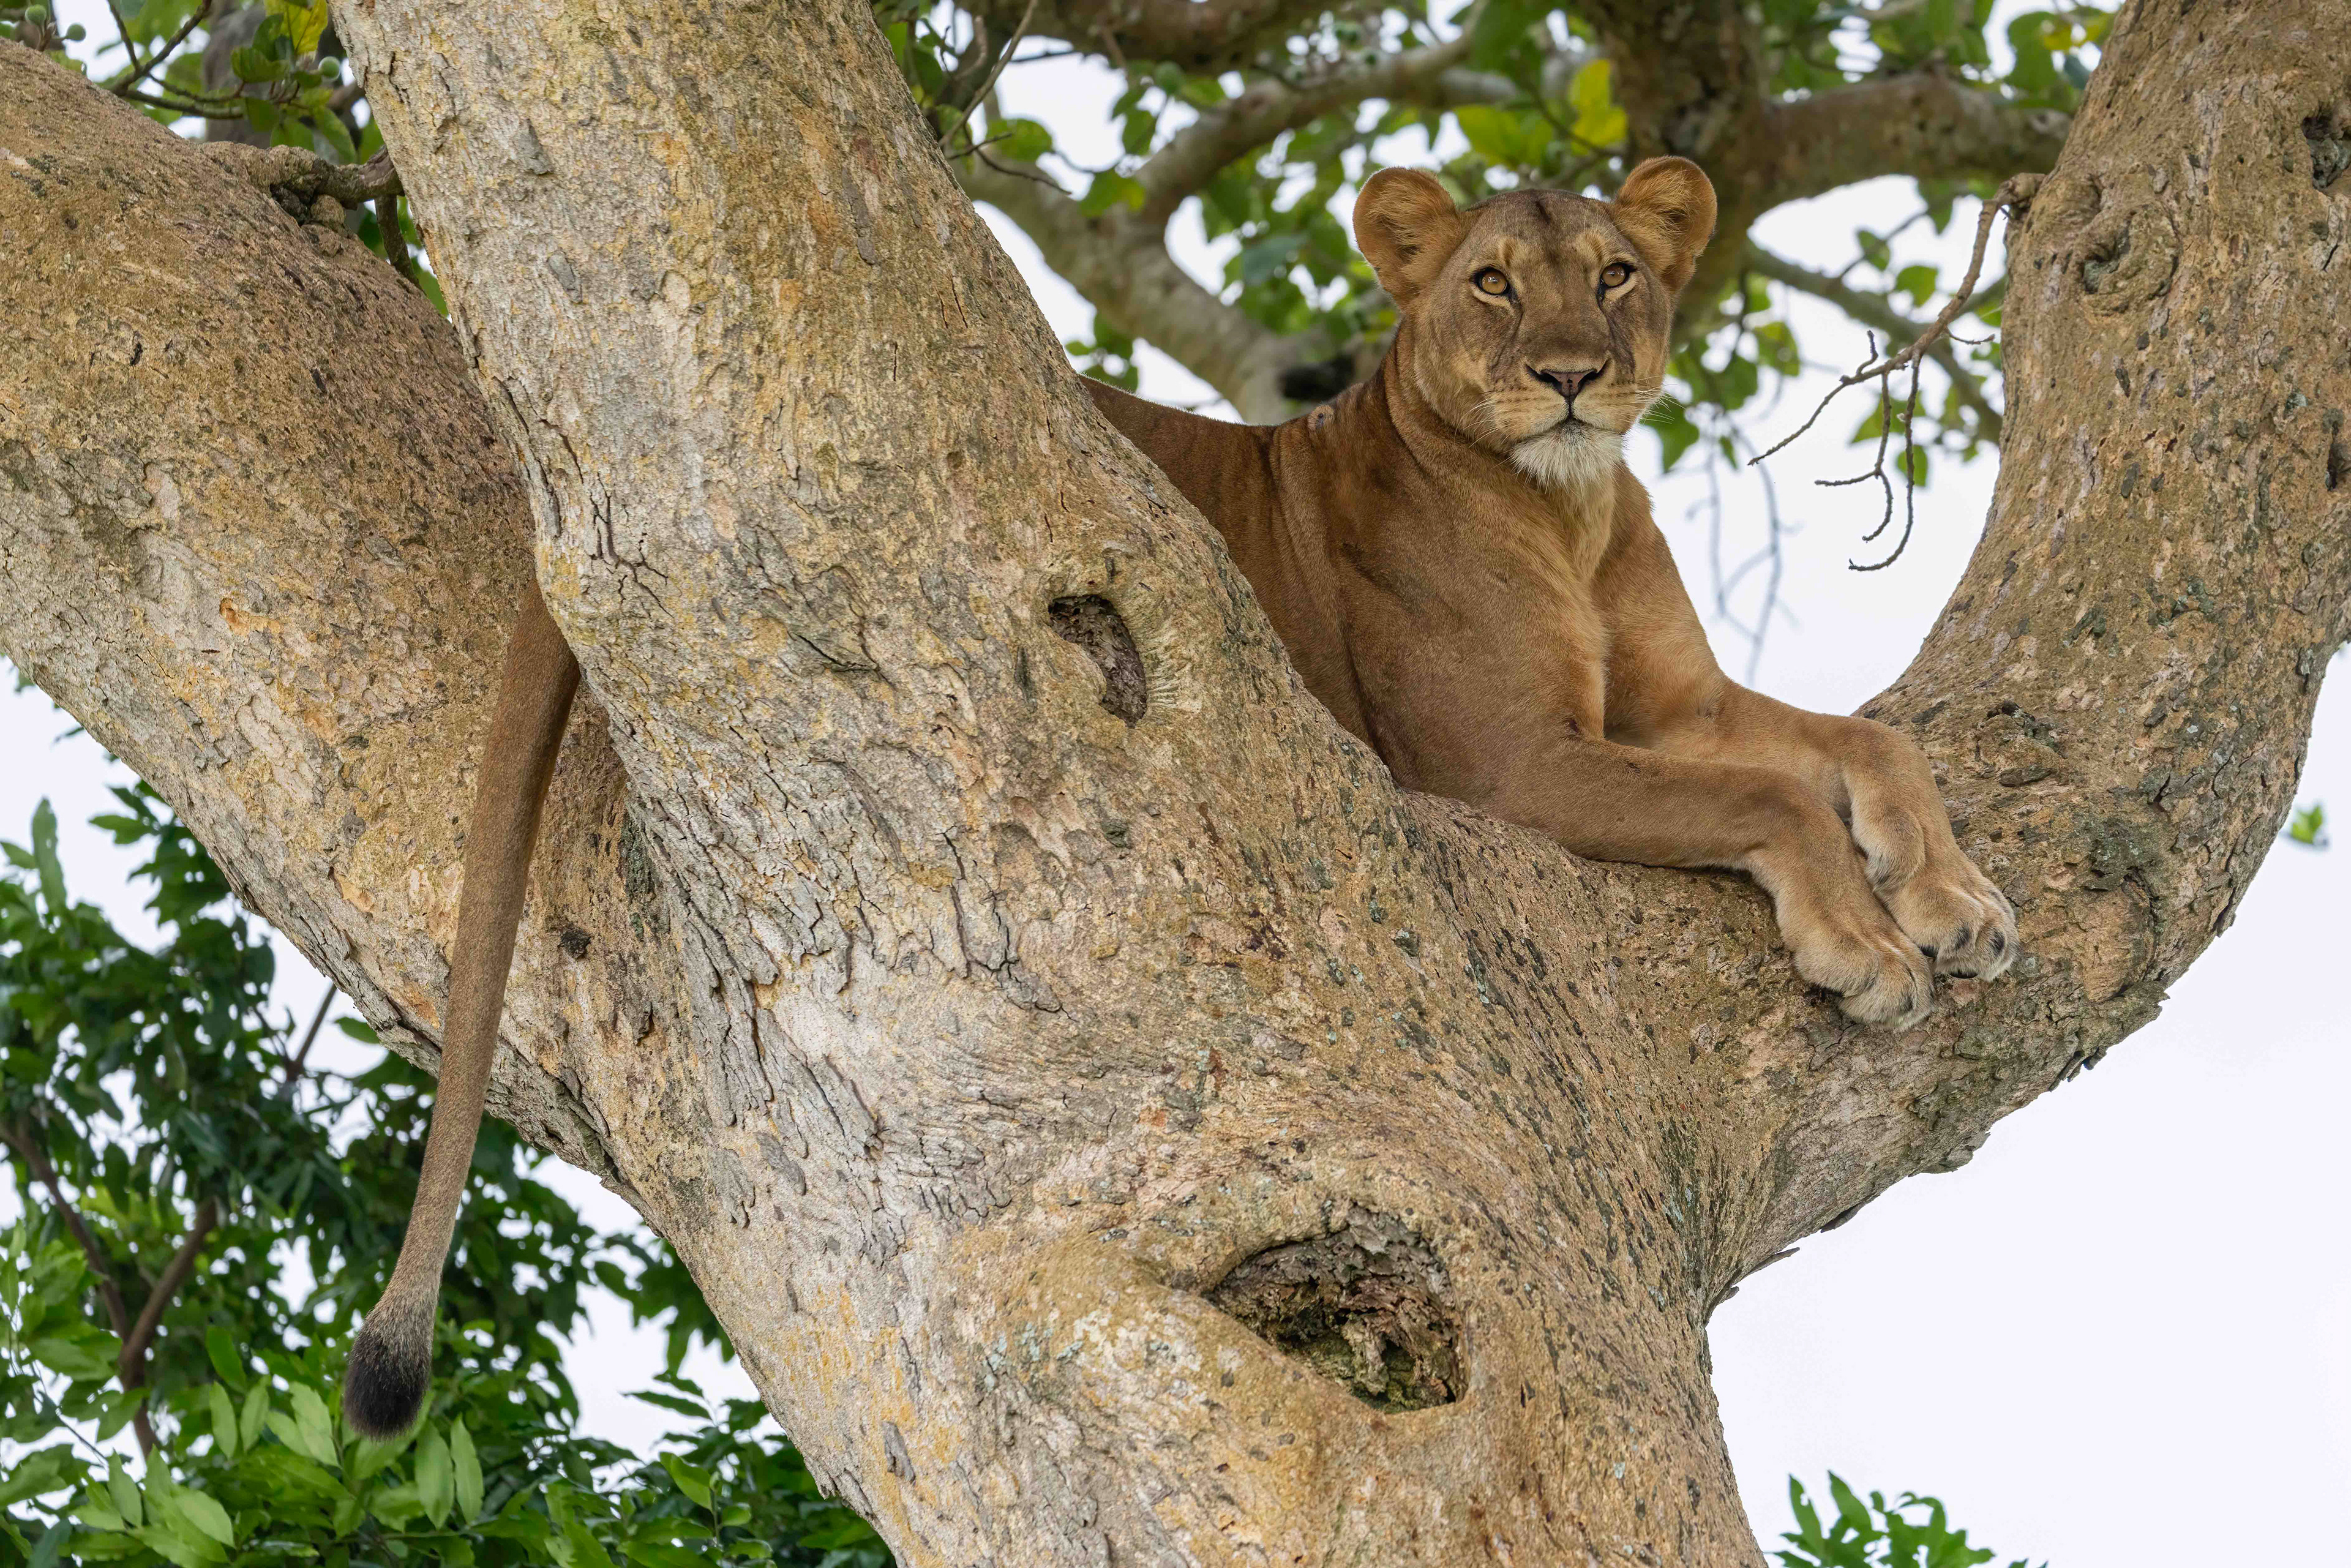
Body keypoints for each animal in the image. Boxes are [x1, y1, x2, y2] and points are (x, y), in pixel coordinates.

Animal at [1083, 157, 2016, 1027]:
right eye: (1493, 283)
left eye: (1616, 275)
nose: (1571, 375)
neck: (1574, 514)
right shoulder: (1508, 763)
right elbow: (1769, 791)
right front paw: (1870, 945)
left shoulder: (1690, 706)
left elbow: (1878, 740)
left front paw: (1956, 895)